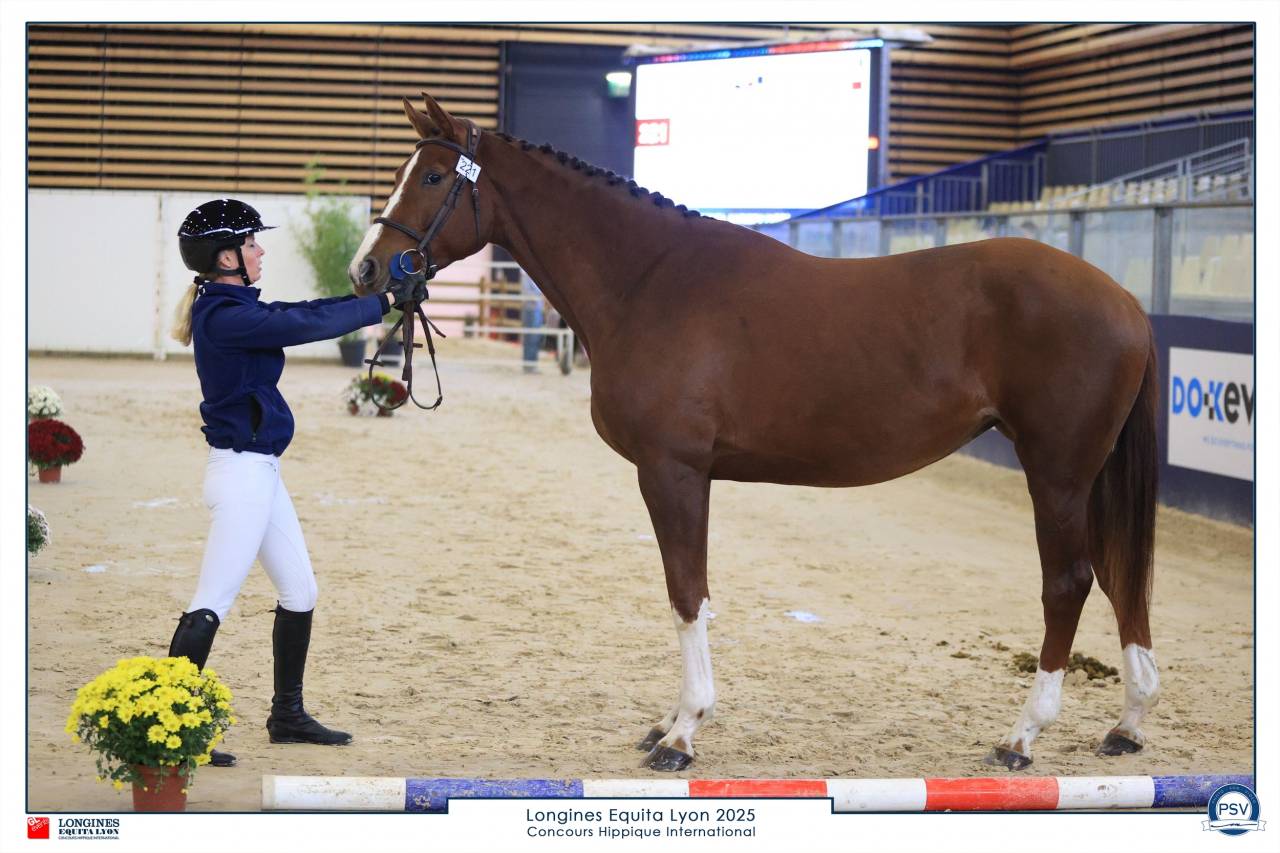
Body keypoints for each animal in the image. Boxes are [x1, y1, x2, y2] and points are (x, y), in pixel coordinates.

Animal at [349, 93, 1160, 773]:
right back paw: (1127, 723)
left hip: (1056, 473)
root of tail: (1126, 300)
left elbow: (685, 592)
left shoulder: (672, 470)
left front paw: (682, 732)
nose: (366, 271)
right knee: (1120, 577)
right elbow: (694, 593)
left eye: (430, 178)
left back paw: (1024, 734)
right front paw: (670, 719)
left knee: (1069, 583)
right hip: (1086, 477)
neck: (649, 279)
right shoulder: (689, 474)